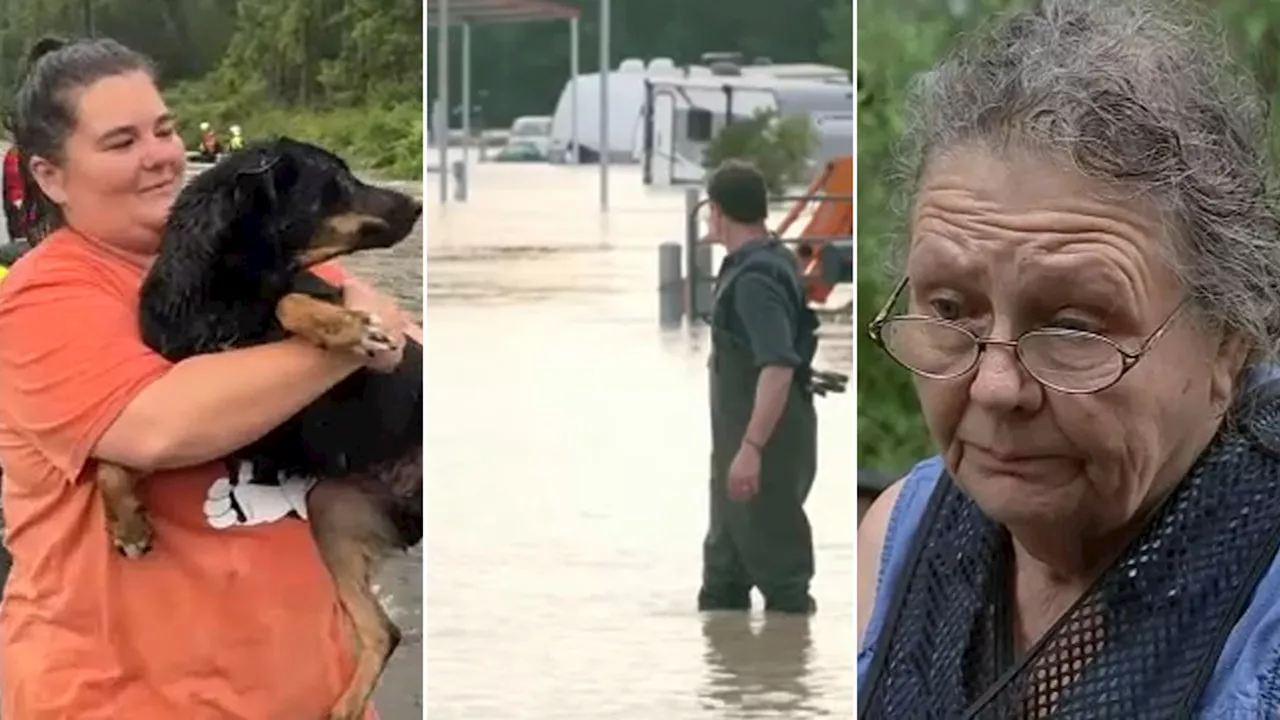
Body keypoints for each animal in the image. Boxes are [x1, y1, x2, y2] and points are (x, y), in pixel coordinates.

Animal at [97, 135, 424, 717]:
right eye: (337, 184)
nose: (418, 206)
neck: (220, 301)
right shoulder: (195, 412)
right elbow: (111, 465)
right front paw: (129, 525)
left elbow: (293, 298)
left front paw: (342, 326)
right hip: (333, 510)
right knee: (382, 631)